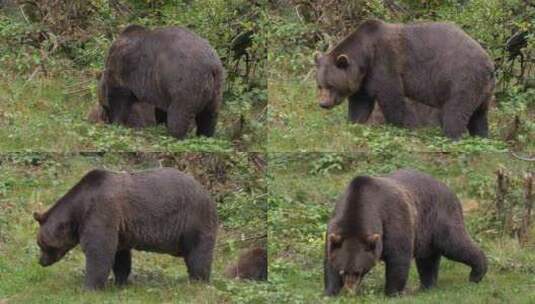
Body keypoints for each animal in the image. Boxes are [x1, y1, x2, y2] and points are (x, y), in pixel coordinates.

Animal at [34, 169, 218, 290]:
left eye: (41, 244)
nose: (41, 261)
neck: (79, 208)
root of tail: (207, 192)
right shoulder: (120, 227)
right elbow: (119, 255)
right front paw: (119, 282)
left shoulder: (101, 212)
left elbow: (98, 251)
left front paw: (89, 287)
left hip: (193, 219)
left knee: (198, 254)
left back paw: (198, 282)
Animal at [316, 20, 496, 140]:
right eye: (319, 85)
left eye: (331, 85)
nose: (323, 104)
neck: (366, 56)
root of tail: (489, 64)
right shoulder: (364, 80)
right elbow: (360, 105)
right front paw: (354, 124)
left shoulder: (385, 64)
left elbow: (391, 98)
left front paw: (397, 126)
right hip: (483, 91)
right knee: (479, 116)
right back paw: (481, 136)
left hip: (462, 79)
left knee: (455, 112)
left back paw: (451, 137)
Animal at [324, 170, 488, 298]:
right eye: (342, 271)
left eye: (358, 271)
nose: (350, 290)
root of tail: (447, 187)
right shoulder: (334, 227)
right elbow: (329, 260)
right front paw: (330, 291)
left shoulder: (393, 219)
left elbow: (398, 257)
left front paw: (392, 292)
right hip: (425, 233)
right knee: (428, 259)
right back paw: (426, 286)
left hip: (440, 217)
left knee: (455, 244)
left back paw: (477, 273)